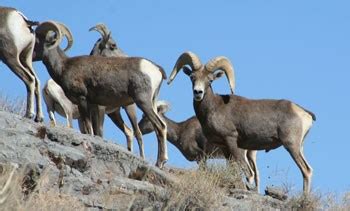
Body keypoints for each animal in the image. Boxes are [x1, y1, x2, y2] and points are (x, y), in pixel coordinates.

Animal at [33, 21, 167, 166]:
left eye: (37, 40)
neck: (64, 66)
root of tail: (156, 68)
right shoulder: (92, 106)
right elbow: (92, 130)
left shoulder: (83, 100)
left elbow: (90, 128)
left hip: (142, 102)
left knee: (158, 127)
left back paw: (160, 162)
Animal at [168, 52, 316, 194]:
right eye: (192, 77)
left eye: (210, 80)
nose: (198, 92)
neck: (214, 108)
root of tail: (303, 112)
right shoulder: (224, 147)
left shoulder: (232, 141)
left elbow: (247, 173)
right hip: (298, 147)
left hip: (291, 145)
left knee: (306, 170)